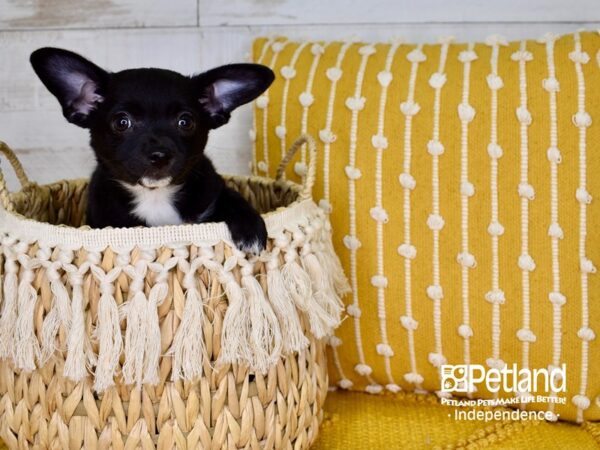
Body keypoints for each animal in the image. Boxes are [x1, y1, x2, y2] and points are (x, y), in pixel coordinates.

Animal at [31, 49, 276, 255]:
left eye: (186, 122)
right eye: (121, 122)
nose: (159, 154)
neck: (154, 196)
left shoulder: (214, 190)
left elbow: (233, 197)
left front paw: (251, 229)